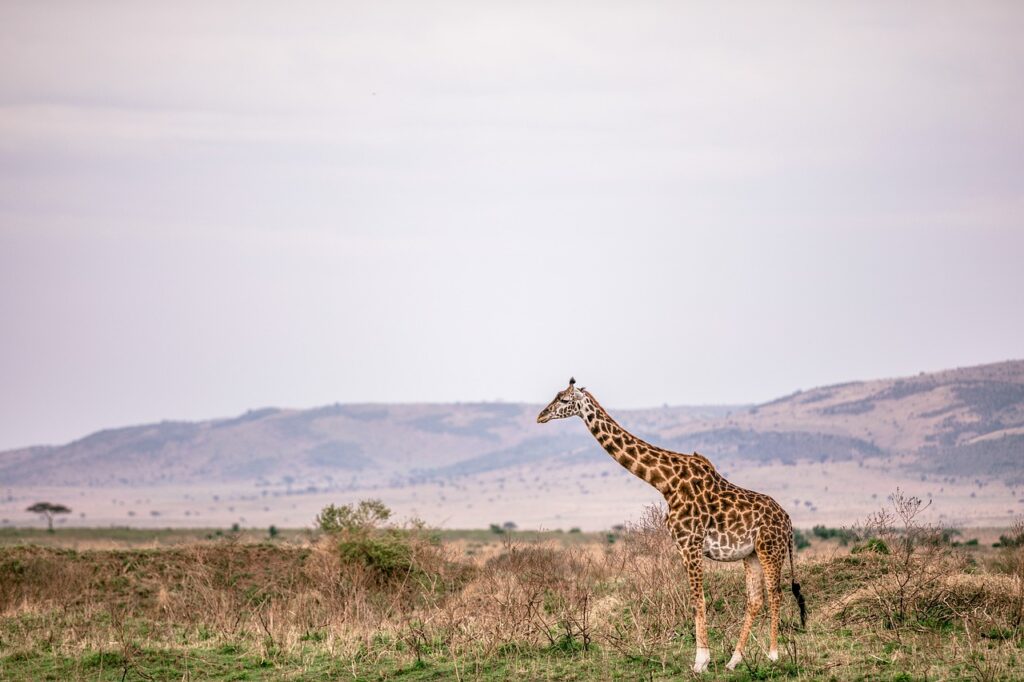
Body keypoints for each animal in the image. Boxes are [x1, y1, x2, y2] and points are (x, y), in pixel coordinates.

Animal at [538, 378, 806, 673]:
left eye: (564, 400)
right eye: (555, 397)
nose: (541, 416)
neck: (665, 481)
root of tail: (788, 521)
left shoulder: (691, 544)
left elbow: (698, 600)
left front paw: (701, 661)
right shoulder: (684, 546)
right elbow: (698, 599)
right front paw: (706, 659)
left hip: (771, 549)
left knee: (775, 593)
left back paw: (773, 655)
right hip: (752, 554)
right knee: (756, 599)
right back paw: (734, 660)